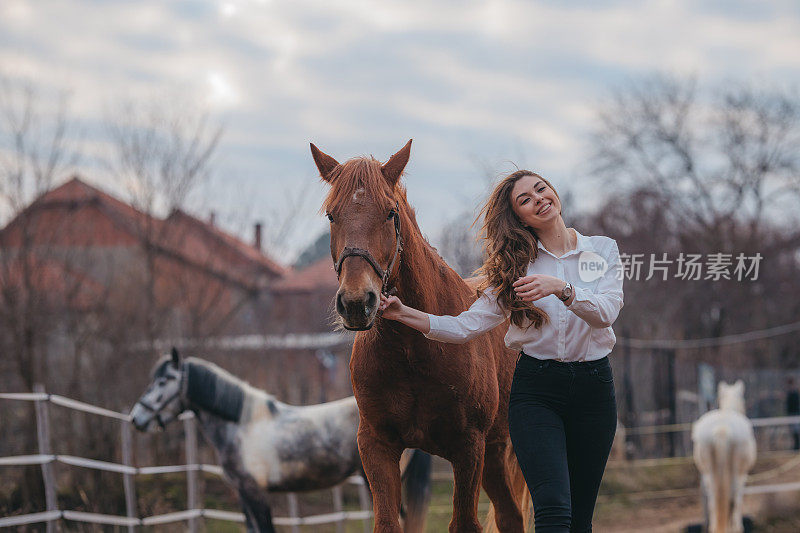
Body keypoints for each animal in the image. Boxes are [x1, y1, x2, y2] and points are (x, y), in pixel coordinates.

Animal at [312, 139, 532, 528]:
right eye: (331, 215)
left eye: (390, 213)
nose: (356, 302)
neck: (413, 351)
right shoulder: (376, 445)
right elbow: (386, 522)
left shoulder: (468, 448)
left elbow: (464, 523)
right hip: (493, 454)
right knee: (509, 516)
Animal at [692, 380, 756, 528]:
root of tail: (721, 429)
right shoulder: (742, 476)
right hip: (737, 475)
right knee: (734, 503)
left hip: (709, 475)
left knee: (714, 505)